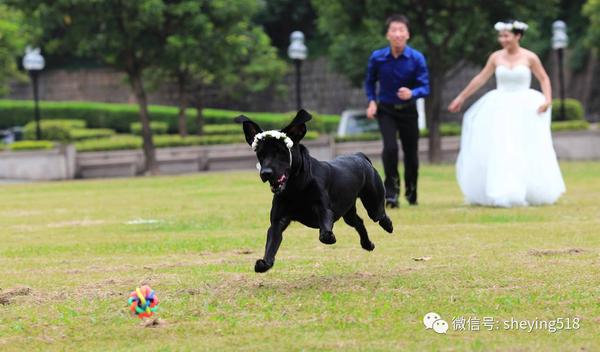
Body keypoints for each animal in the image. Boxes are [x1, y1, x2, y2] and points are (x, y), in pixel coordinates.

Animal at [234, 109, 394, 272]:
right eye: (260, 154)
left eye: (281, 151)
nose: (265, 173)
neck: (296, 188)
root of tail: (359, 156)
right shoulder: (278, 221)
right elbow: (271, 242)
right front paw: (265, 263)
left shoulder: (324, 209)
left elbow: (325, 232)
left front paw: (329, 236)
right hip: (348, 212)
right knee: (359, 222)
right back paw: (367, 244)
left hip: (373, 202)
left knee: (379, 215)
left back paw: (388, 225)